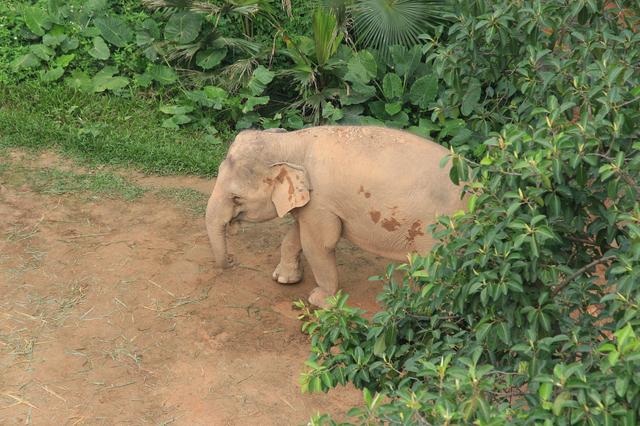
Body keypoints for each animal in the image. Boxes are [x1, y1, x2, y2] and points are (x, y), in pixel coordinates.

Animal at [208, 125, 468, 308]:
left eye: (236, 198)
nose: (231, 260)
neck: (291, 142)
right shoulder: (313, 206)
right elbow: (296, 236)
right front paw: (283, 279)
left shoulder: (322, 202)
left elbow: (319, 245)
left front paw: (319, 301)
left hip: (440, 230)